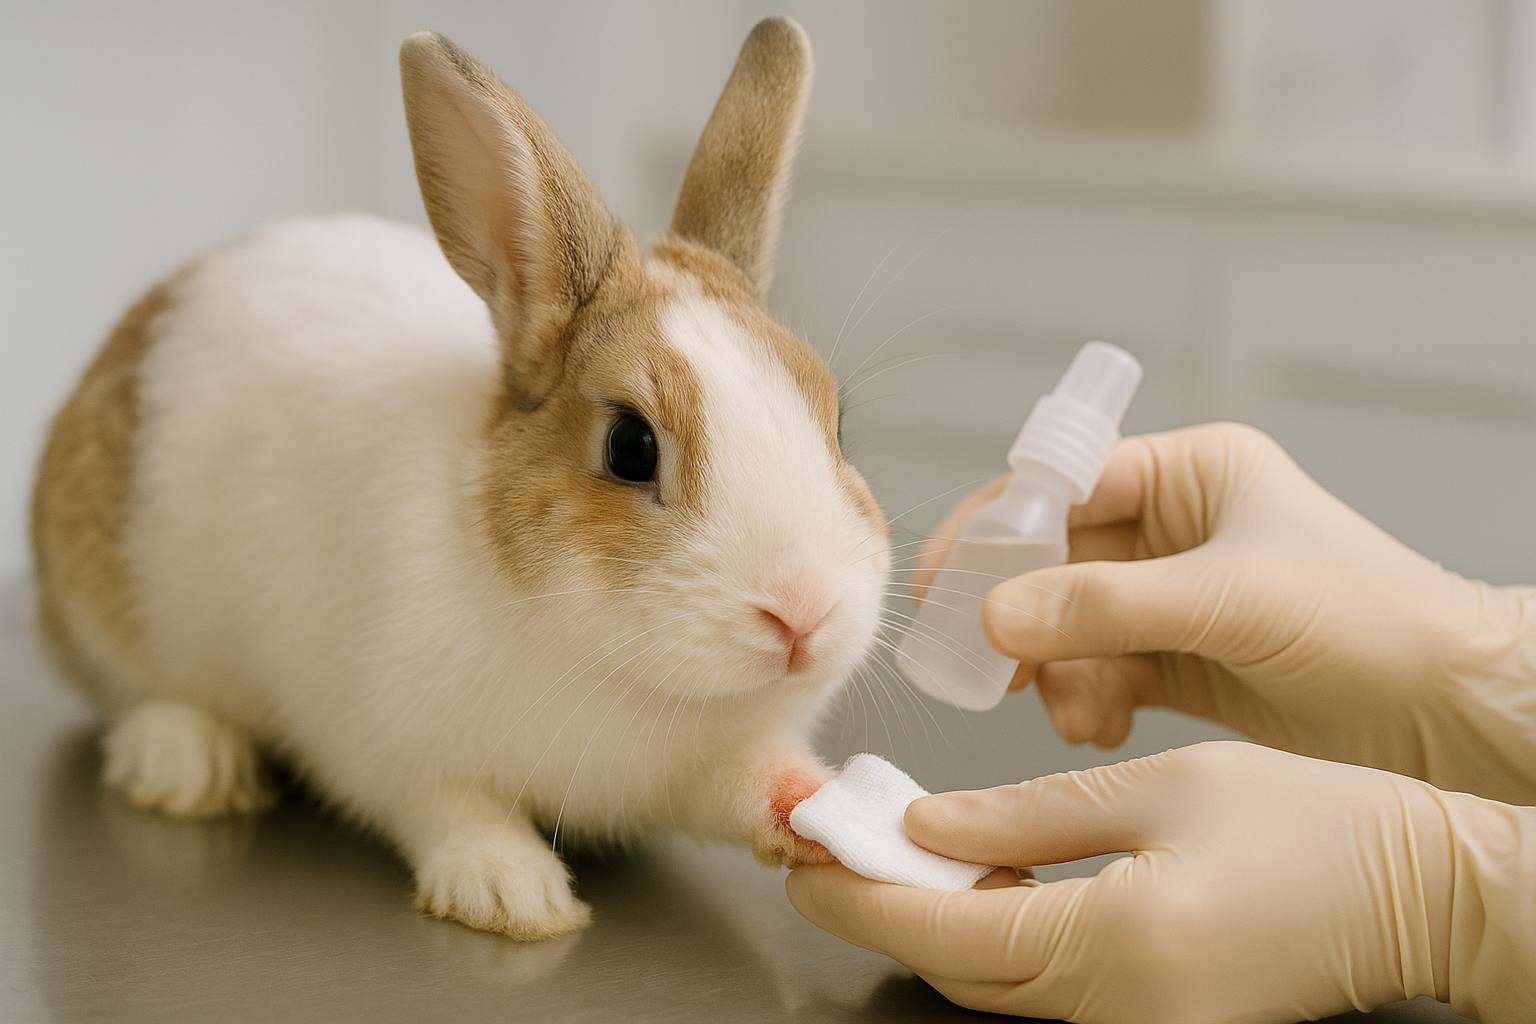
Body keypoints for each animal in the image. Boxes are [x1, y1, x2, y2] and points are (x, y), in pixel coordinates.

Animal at [29, 17, 890, 940]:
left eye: (839, 421)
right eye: (630, 446)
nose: (804, 613)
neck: (610, 664)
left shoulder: (703, 765)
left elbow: (749, 783)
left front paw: (819, 804)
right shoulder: (384, 741)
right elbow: (449, 807)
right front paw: (515, 894)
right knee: (135, 696)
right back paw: (190, 767)